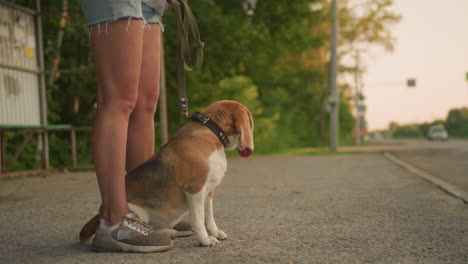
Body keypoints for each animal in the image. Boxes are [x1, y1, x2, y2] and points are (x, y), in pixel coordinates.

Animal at [81, 100, 256, 246]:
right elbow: (199, 219)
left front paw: (215, 233)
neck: (212, 134)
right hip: (135, 211)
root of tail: (100, 214)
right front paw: (205, 240)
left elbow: (209, 216)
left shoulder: (209, 191)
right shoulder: (194, 190)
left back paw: (169, 232)